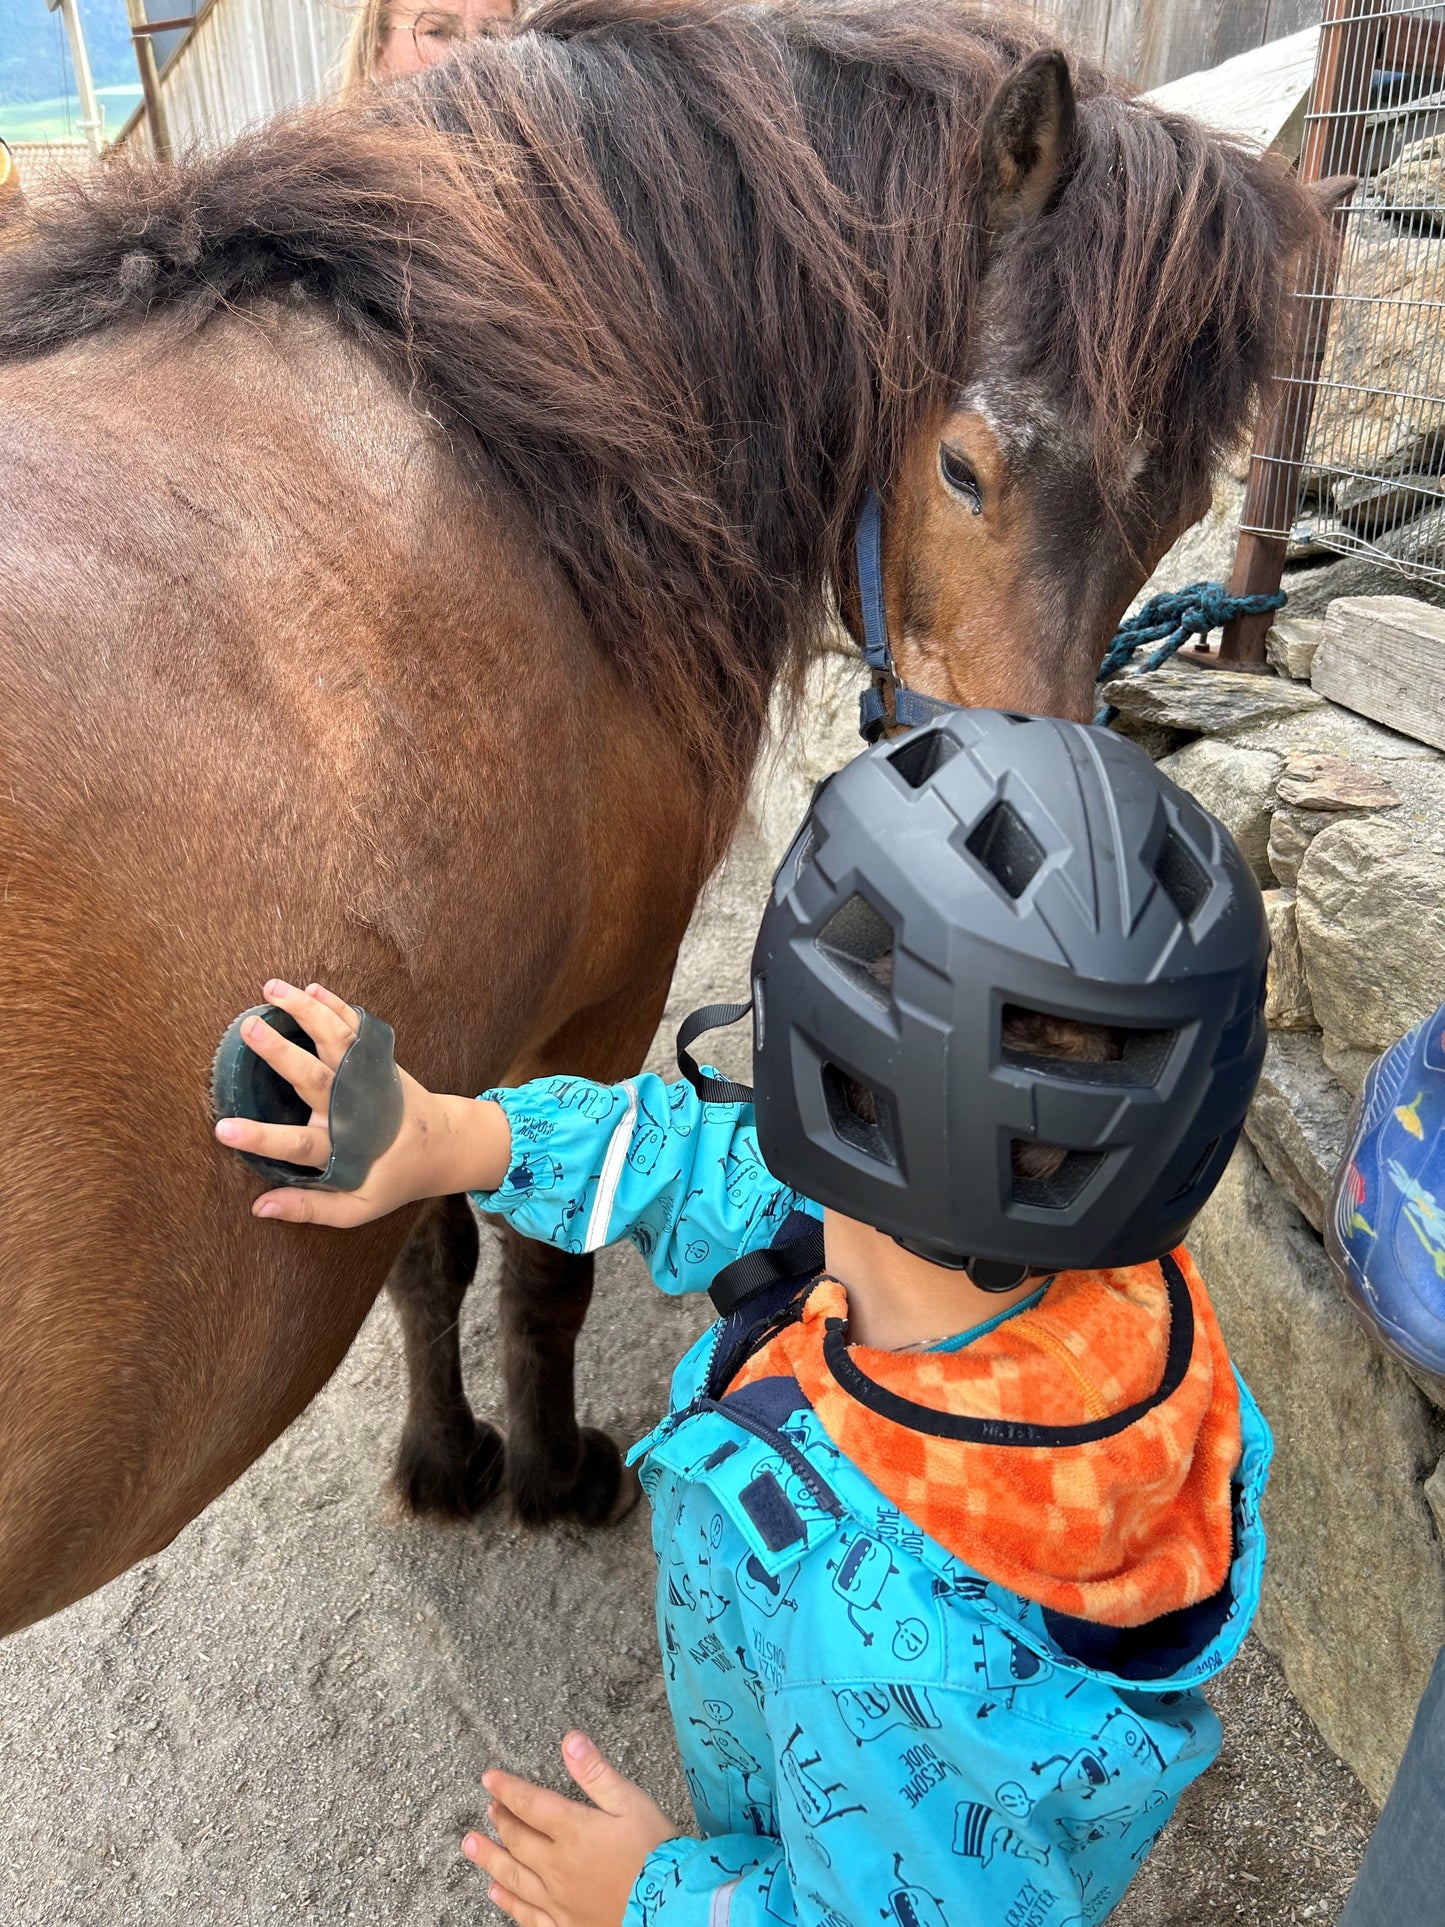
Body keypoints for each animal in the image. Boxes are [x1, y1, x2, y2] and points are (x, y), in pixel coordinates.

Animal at [0, 0, 1317, 1641]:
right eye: (964, 464)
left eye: (1173, 509)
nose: (1071, 1031)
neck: (500, 440)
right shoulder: (592, 994)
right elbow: (539, 1259)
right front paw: (550, 1471)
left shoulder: (430, 1005)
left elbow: (426, 1240)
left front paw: (448, 1454)